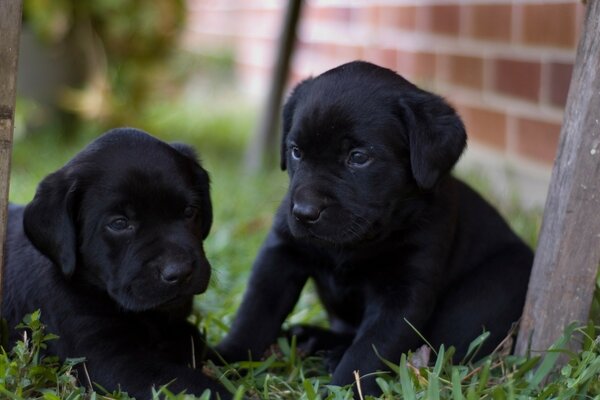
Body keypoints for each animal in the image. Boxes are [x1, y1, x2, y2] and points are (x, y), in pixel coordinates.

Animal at [216, 61, 536, 396]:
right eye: (296, 151)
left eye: (358, 157)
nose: (304, 212)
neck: (355, 244)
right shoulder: (280, 253)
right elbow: (255, 313)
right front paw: (224, 358)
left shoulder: (403, 291)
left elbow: (370, 349)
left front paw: (344, 390)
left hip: (485, 295)